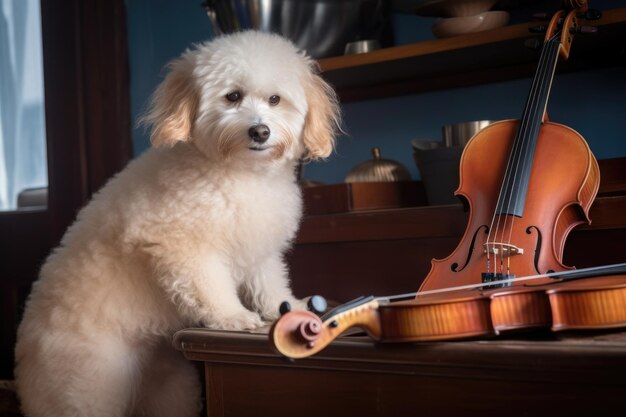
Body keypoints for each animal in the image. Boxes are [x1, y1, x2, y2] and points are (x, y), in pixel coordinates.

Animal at [14, 31, 338, 416]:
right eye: (233, 96)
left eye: (275, 99)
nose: (259, 131)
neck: (239, 172)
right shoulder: (186, 248)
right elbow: (212, 288)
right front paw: (233, 317)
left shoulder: (259, 251)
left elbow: (270, 284)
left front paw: (289, 308)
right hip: (85, 390)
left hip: (173, 391)